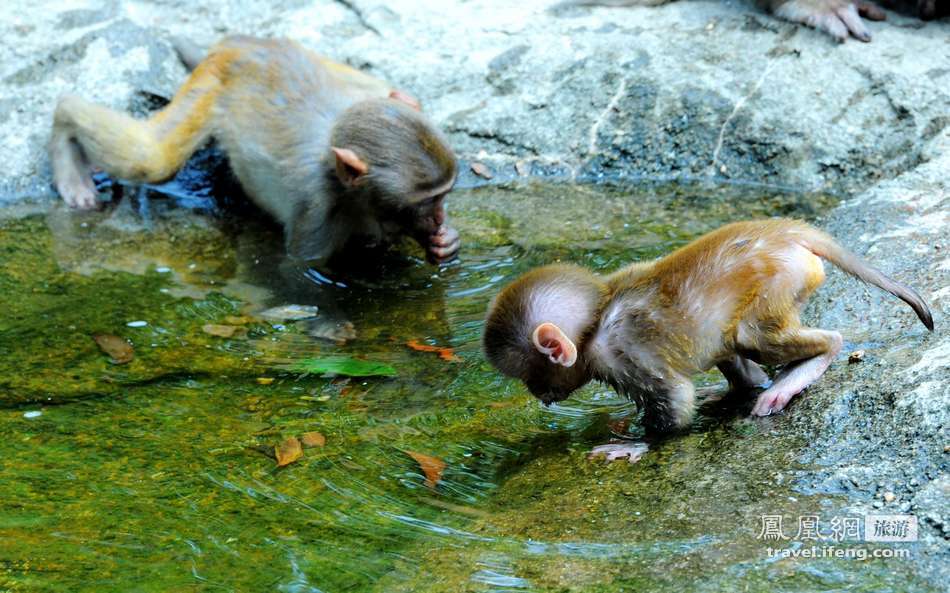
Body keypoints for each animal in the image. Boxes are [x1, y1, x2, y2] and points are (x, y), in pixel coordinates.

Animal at [50, 36, 462, 266]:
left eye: (444, 196)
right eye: (429, 200)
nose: (439, 217)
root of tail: (245, 44)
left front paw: (443, 243)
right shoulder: (315, 207)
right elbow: (306, 273)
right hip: (211, 83)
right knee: (151, 159)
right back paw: (65, 129)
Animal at [488, 220, 932, 460]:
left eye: (529, 375)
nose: (539, 395)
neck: (594, 323)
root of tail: (781, 230)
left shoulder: (625, 354)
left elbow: (675, 399)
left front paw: (638, 442)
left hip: (783, 278)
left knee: (753, 335)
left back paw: (803, 368)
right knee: (732, 347)